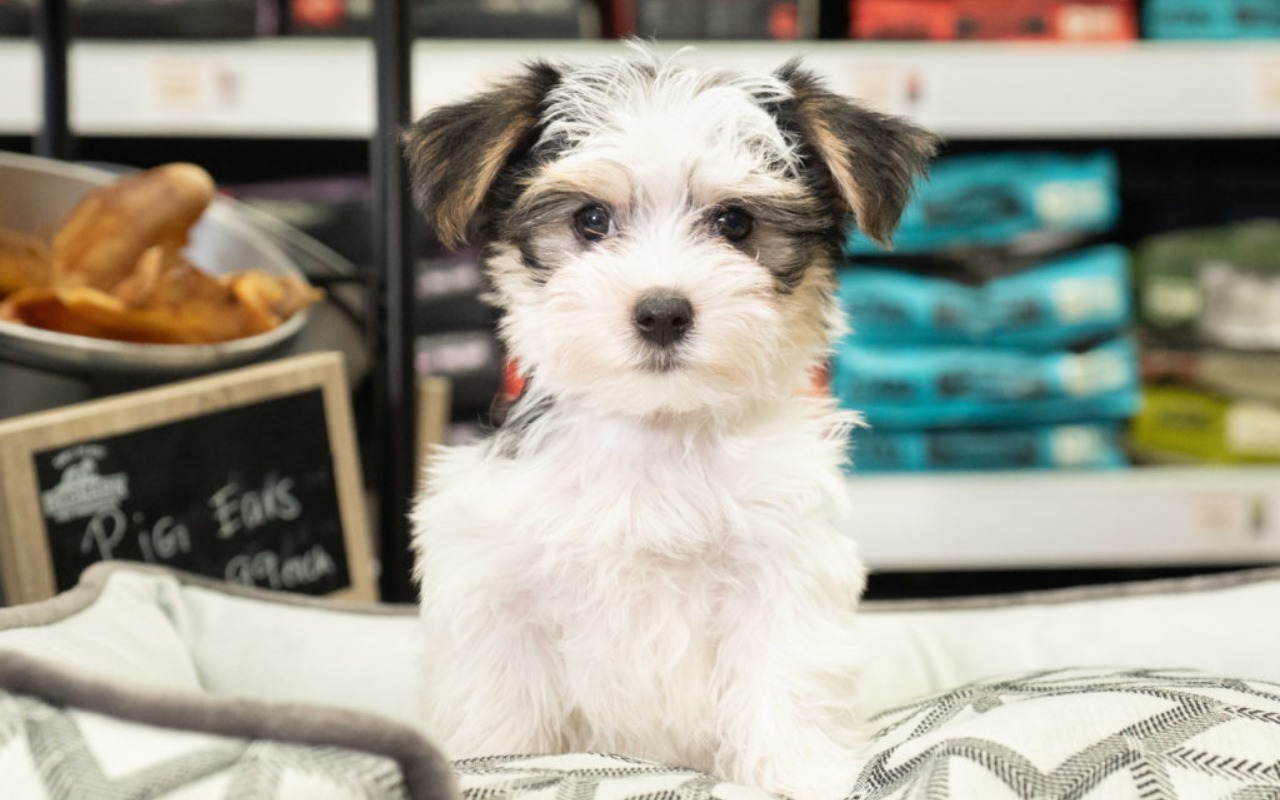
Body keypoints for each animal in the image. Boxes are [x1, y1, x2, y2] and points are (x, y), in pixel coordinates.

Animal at [404, 48, 936, 798]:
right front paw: (495, 762)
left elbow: (784, 681)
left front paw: (799, 771)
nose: (661, 311)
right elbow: (502, 712)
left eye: (736, 223)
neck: (658, 428)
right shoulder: (497, 583)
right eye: (591, 220)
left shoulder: (783, 569)